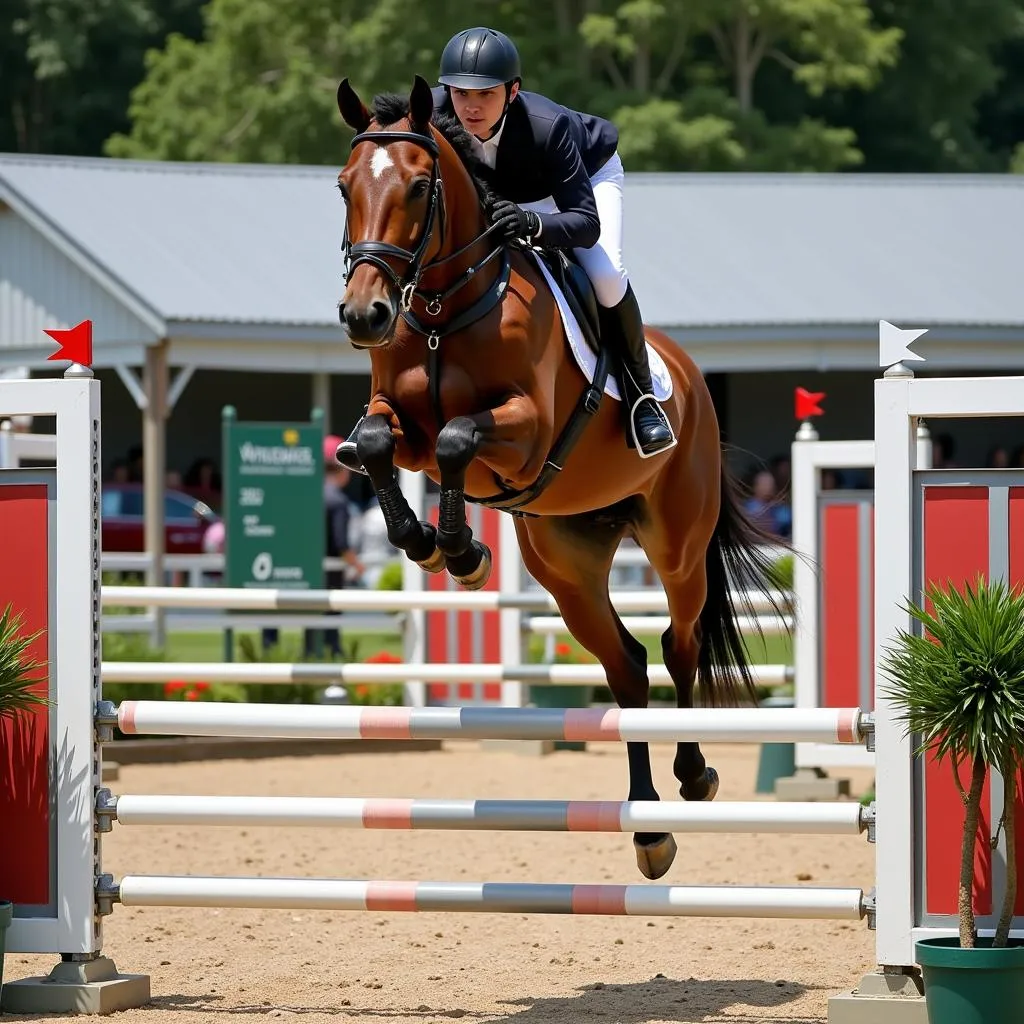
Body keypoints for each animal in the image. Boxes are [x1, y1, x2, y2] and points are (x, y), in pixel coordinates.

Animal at [335, 75, 782, 884]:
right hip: (567, 566)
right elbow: (381, 441)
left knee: (679, 644)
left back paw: (695, 775)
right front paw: (434, 545)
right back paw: (648, 830)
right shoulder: (402, 426)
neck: (446, 308)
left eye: (418, 186)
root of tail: (692, 379)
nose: (365, 314)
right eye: (344, 186)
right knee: (627, 666)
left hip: (676, 544)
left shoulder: (522, 434)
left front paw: (460, 553)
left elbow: (456, 438)